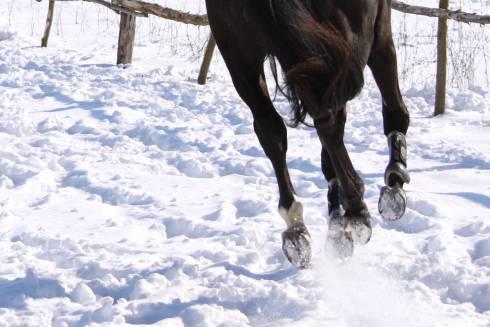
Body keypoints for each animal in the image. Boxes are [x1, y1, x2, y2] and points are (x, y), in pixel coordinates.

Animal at [205, 0, 412, 268]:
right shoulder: (377, 30)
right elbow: (394, 108)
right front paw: (394, 179)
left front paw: (336, 221)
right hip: (352, 34)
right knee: (327, 117)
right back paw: (356, 209)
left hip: (240, 58)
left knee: (273, 129)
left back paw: (296, 228)